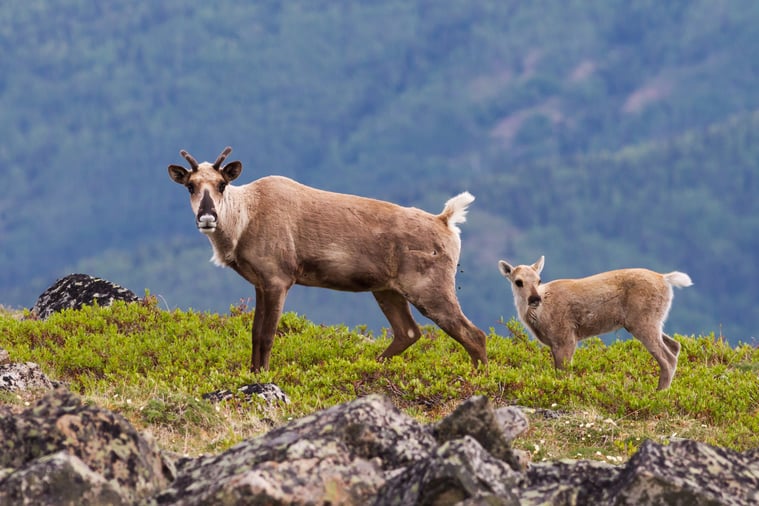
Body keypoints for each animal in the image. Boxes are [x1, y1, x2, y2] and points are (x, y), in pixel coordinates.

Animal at [167, 146, 490, 372]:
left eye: (222, 184)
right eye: (190, 185)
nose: (207, 217)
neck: (243, 220)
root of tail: (447, 221)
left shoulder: (279, 279)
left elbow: (268, 334)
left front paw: (264, 377)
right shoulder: (260, 283)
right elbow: (255, 333)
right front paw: (252, 374)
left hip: (429, 288)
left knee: (474, 334)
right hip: (386, 289)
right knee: (408, 332)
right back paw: (370, 368)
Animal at [498, 255, 696, 390]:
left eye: (539, 280)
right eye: (518, 282)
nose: (535, 299)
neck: (539, 317)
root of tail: (665, 278)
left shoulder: (566, 338)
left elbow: (564, 373)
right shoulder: (555, 344)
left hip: (643, 322)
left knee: (668, 358)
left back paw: (659, 393)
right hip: (649, 321)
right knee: (675, 345)